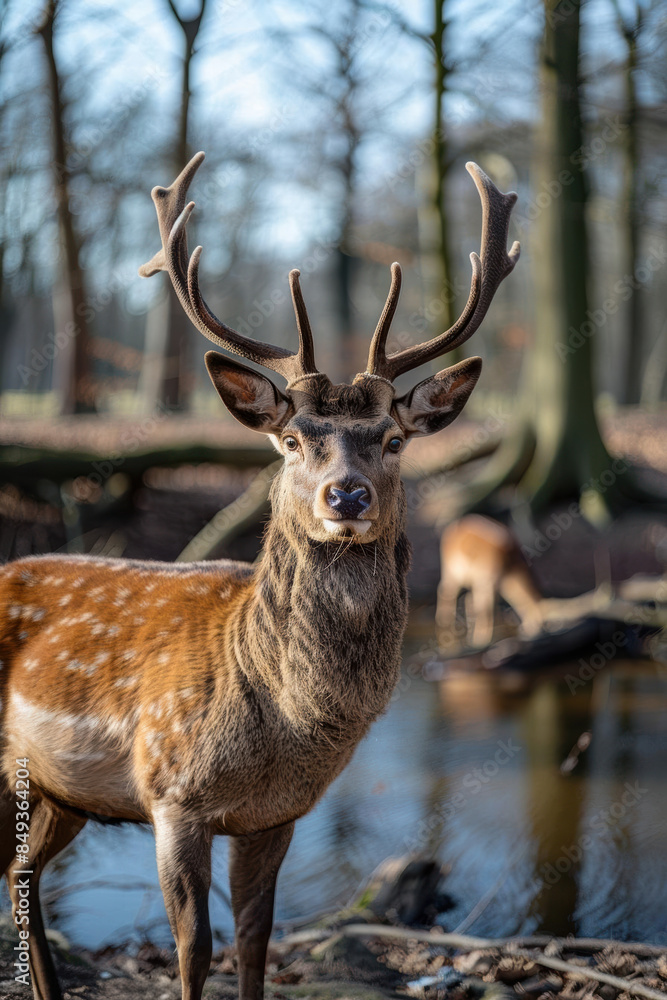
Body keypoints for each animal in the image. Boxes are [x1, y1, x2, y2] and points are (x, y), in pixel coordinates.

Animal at [0, 151, 519, 1000]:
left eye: (393, 438)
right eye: (292, 439)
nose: (347, 496)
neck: (277, 723)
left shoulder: (276, 816)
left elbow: (254, 940)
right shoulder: (172, 791)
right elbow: (194, 949)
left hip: (56, 790)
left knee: (20, 871)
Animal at [436, 514, 543, 649]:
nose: (535, 633)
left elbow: (476, 603)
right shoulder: (485, 581)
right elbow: (483, 609)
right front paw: (481, 640)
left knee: (463, 597)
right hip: (453, 573)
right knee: (446, 593)